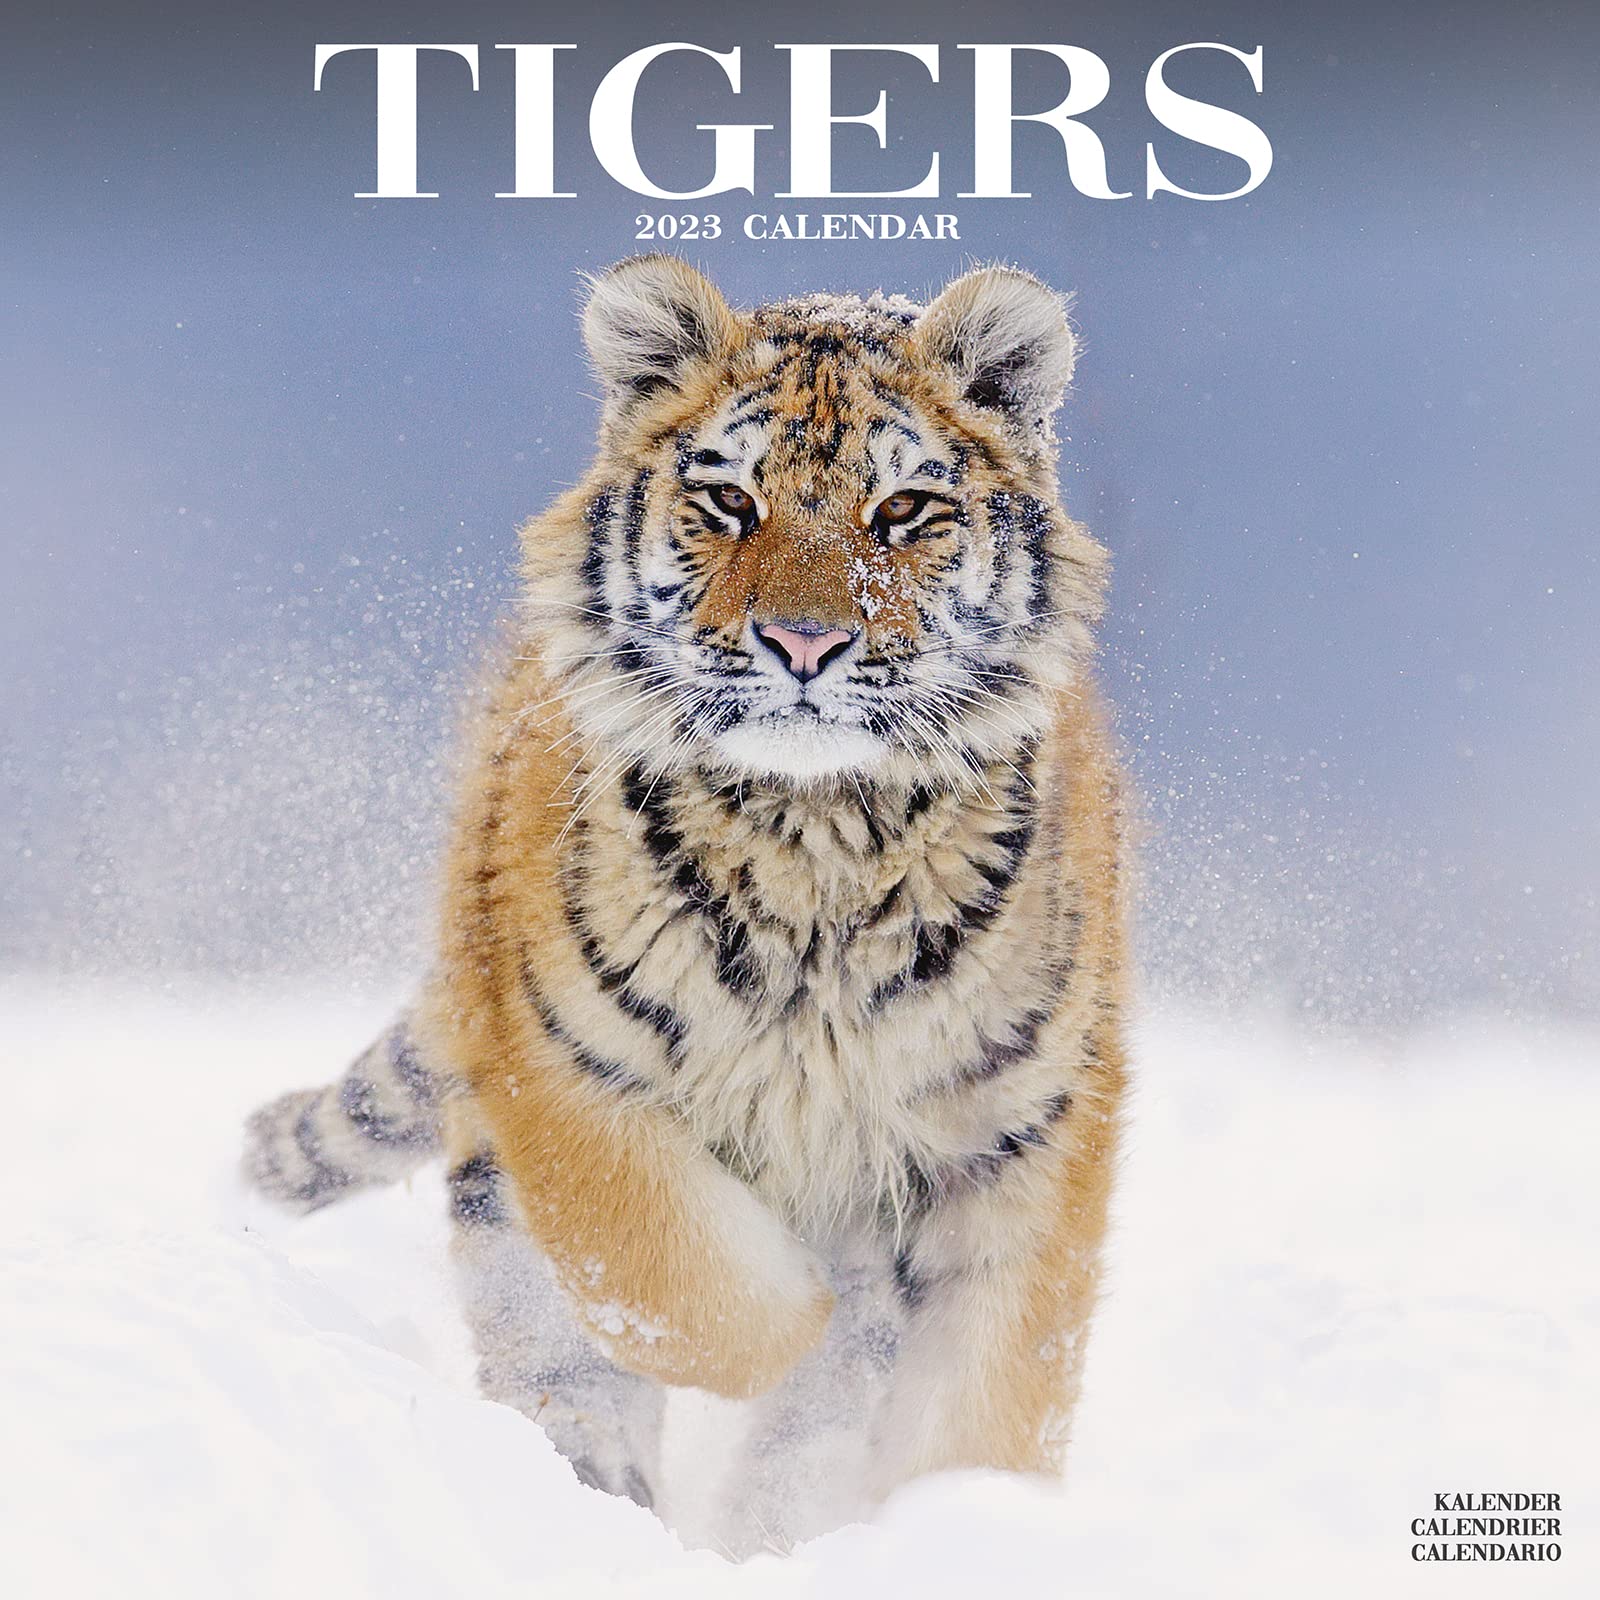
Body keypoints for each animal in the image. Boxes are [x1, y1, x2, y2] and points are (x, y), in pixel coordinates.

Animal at [244, 255, 1129, 1558]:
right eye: (727, 499)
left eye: (902, 510)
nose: (802, 642)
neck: (820, 840)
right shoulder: (565, 1068)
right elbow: (692, 1286)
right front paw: (809, 1320)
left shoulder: (1021, 1122)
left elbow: (995, 1381)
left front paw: (969, 1520)